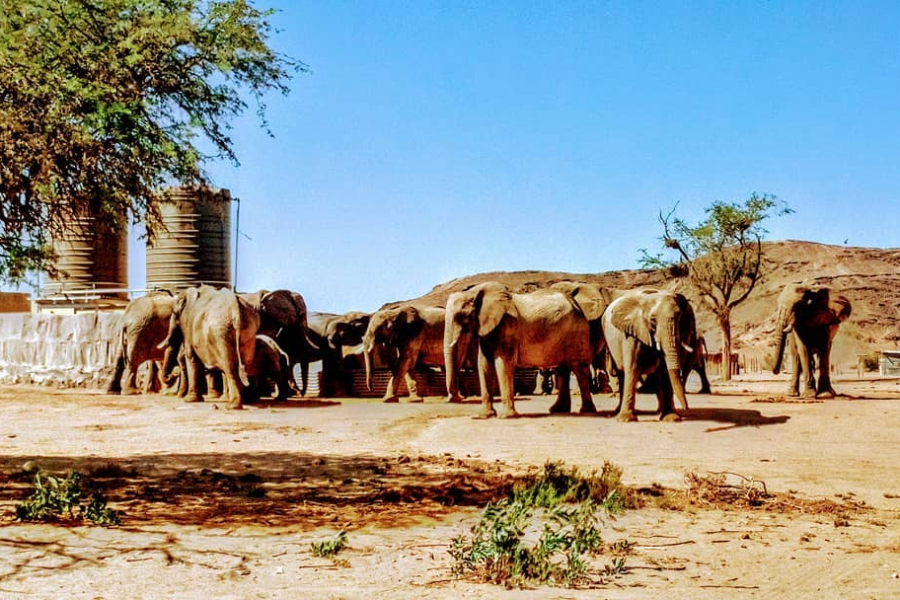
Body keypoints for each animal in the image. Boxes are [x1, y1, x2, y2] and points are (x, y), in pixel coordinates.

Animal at [444, 282, 596, 418]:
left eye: (461, 315)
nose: (458, 398)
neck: (476, 292)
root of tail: (577, 305)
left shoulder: (508, 325)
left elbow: (503, 363)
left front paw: (505, 416)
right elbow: (483, 364)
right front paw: (482, 416)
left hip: (578, 333)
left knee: (579, 369)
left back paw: (586, 412)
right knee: (563, 370)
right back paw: (558, 410)